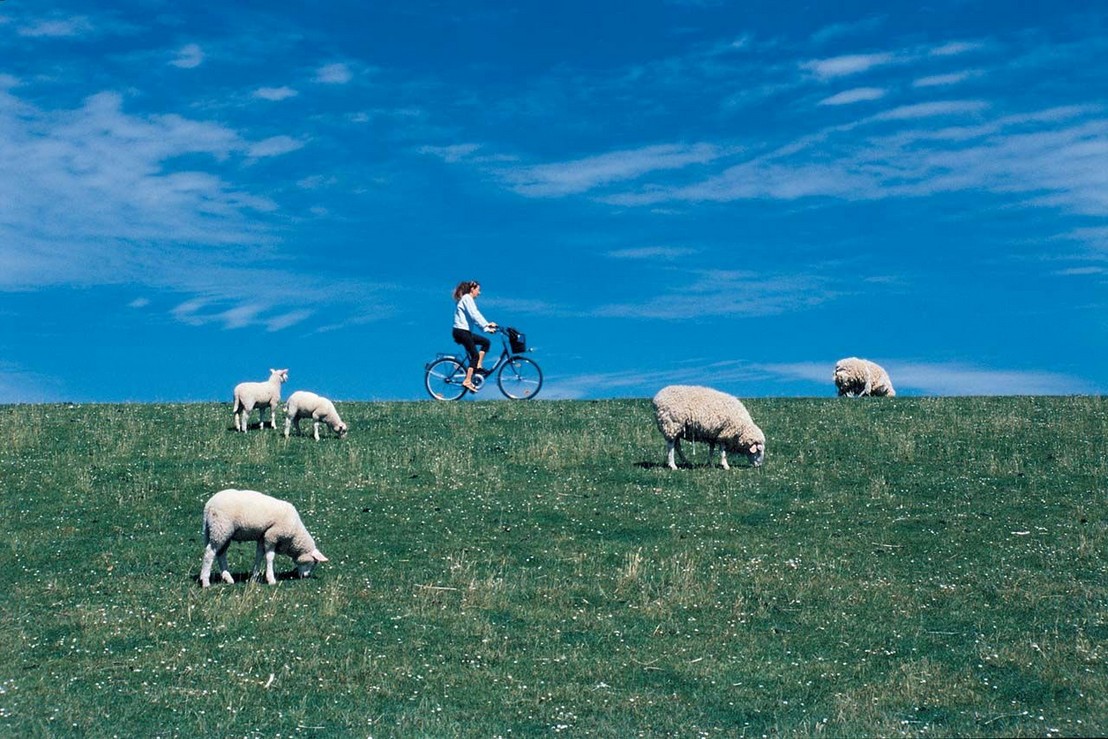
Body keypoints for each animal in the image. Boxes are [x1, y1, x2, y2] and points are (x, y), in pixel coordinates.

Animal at [199, 488, 328, 587]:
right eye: (314, 562)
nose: (306, 576)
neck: (294, 535)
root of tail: (208, 505)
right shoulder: (271, 535)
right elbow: (270, 557)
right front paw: (271, 579)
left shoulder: (262, 537)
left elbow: (259, 555)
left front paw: (254, 577)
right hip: (220, 528)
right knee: (210, 553)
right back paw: (205, 581)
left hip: (221, 532)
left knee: (221, 554)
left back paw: (228, 578)